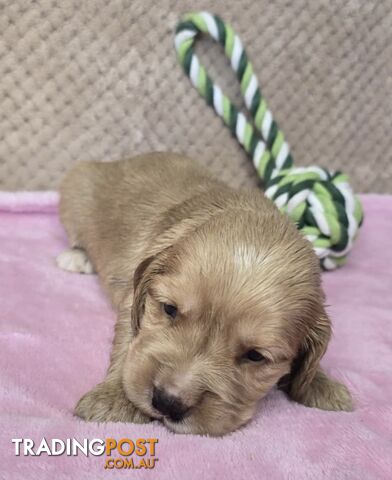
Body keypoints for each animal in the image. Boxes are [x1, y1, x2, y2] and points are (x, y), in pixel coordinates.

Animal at [57, 153, 352, 436]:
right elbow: (129, 339)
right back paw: (77, 257)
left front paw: (321, 384)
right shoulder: (135, 294)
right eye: (170, 309)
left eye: (255, 356)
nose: (168, 402)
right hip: (76, 188)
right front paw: (114, 398)